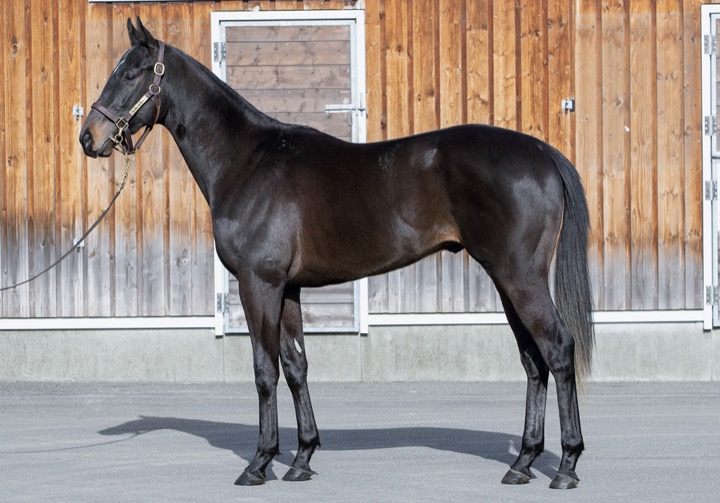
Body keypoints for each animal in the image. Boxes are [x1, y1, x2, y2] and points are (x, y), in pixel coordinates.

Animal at [80, 18, 594, 490]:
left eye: (131, 74)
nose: (89, 137)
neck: (248, 162)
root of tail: (542, 153)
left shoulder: (258, 284)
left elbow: (264, 370)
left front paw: (259, 463)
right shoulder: (288, 288)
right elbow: (296, 366)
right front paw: (302, 458)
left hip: (520, 278)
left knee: (557, 349)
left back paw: (566, 466)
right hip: (507, 281)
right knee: (533, 362)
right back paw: (523, 462)